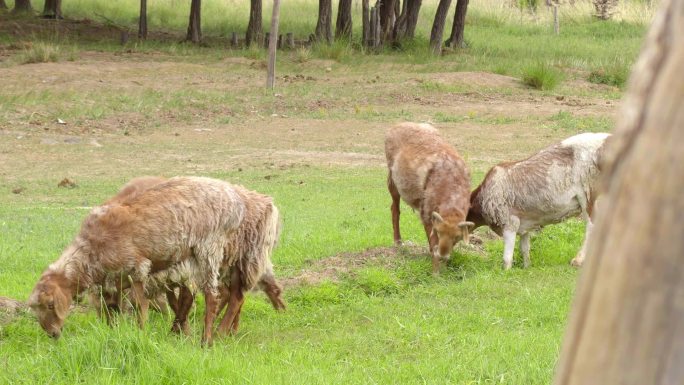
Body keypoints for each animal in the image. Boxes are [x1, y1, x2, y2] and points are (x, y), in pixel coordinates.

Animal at [27, 176, 246, 344]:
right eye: (36, 310)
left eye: (50, 305)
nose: (52, 334)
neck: (92, 251)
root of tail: (233, 198)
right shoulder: (114, 282)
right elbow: (112, 311)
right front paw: (113, 332)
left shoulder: (138, 268)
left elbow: (140, 307)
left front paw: (141, 333)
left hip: (208, 248)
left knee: (212, 296)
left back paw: (206, 340)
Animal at [384, 123, 476, 272]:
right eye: (438, 232)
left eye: (457, 237)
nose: (444, 255)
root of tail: (397, 125)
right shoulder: (426, 212)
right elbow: (433, 243)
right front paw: (436, 270)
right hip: (392, 180)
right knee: (395, 209)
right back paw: (398, 242)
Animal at [464, 130, 608, 268]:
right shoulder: (524, 226)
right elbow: (525, 249)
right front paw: (527, 267)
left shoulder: (509, 223)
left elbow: (507, 258)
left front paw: (506, 271)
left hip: (589, 194)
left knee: (593, 226)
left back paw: (578, 260)